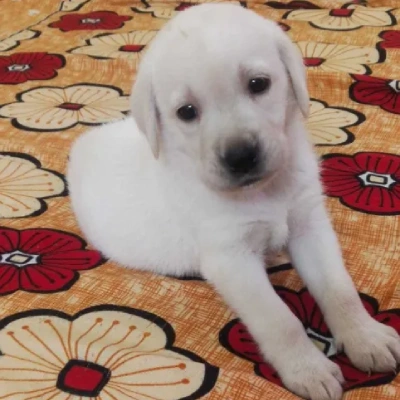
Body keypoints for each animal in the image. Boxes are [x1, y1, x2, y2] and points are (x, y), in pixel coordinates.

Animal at [67, 3, 398, 400]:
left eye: (258, 84)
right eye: (186, 112)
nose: (240, 157)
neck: (264, 192)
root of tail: (84, 144)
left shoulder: (309, 226)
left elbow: (340, 290)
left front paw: (366, 337)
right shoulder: (232, 259)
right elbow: (280, 320)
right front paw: (308, 368)